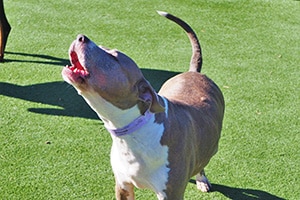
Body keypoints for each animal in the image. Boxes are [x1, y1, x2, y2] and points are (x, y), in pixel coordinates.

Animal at [62, 11, 224, 200]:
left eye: (114, 57)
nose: (81, 37)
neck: (132, 133)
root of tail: (194, 72)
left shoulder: (171, 193)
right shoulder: (122, 185)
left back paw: (202, 179)